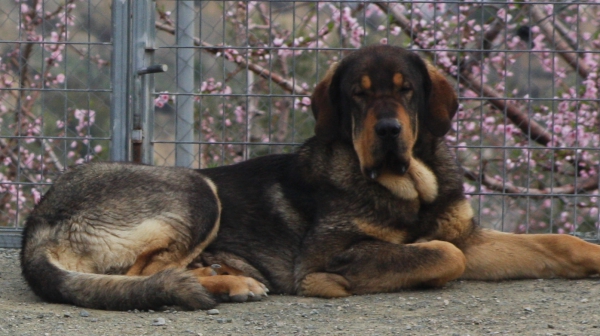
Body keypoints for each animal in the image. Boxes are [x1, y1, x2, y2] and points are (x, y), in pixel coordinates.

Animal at [18, 44, 600, 310]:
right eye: (357, 95)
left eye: (406, 90)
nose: (388, 131)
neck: (410, 189)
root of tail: (37, 222)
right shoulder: (331, 252)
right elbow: (441, 256)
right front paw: (337, 284)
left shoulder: (469, 236)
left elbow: (557, 243)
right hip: (195, 190)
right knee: (144, 276)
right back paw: (227, 282)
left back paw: (222, 275)